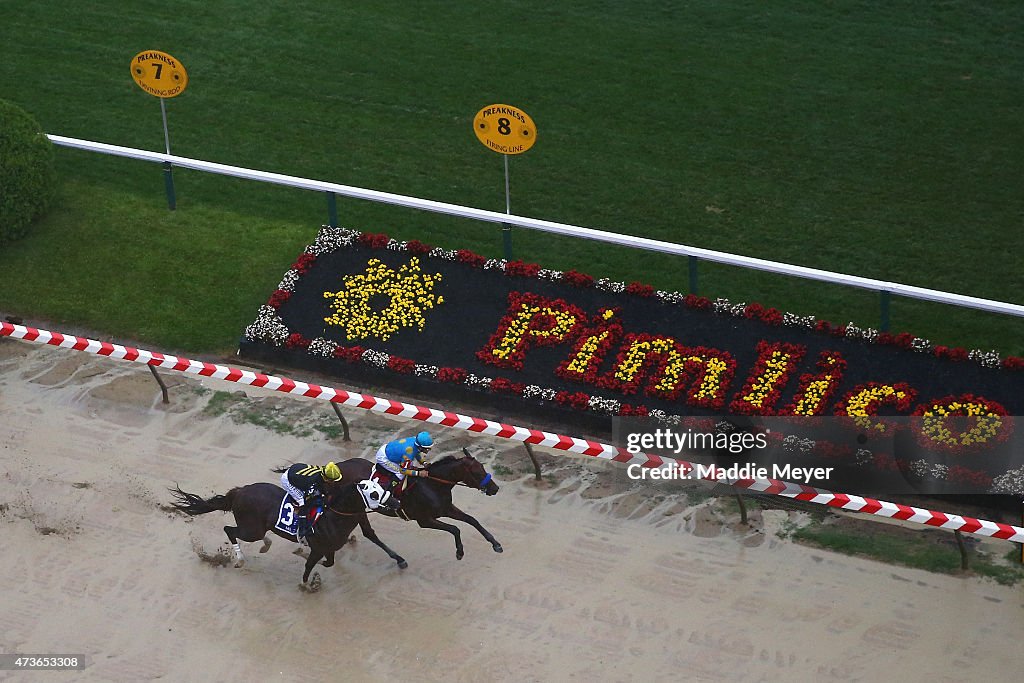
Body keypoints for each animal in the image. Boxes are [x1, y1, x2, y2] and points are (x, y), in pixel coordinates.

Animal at [169, 481, 405, 589]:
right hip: (250, 529)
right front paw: (306, 584)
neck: (335, 515)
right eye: (373, 493)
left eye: (381, 487)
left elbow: (328, 563)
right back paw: (240, 559)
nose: (396, 502)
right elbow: (310, 565)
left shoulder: (329, 549)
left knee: (253, 535)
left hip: (257, 528)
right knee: (230, 530)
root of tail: (241, 491)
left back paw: (265, 544)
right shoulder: (319, 547)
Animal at [337, 448, 501, 561]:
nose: (495, 488)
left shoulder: (446, 508)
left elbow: (472, 520)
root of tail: (337, 468)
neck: (432, 485)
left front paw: (495, 544)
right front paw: (459, 552)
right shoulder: (424, 520)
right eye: (476, 472)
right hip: (357, 509)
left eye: (483, 467)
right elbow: (455, 529)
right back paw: (399, 559)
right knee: (369, 533)